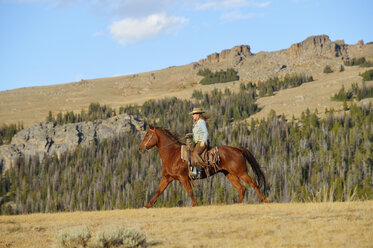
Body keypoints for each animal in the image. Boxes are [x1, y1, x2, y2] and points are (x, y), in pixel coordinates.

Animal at [137, 125, 268, 208]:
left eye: (147, 135)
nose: (140, 148)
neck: (172, 154)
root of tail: (236, 149)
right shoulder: (167, 177)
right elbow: (158, 191)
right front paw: (147, 205)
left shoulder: (183, 177)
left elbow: (190, 191)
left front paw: (195, 205)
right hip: (230, 174)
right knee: (241, 188)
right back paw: (238, 203)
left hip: (241, 172)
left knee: (253, 183)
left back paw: (264, 199)